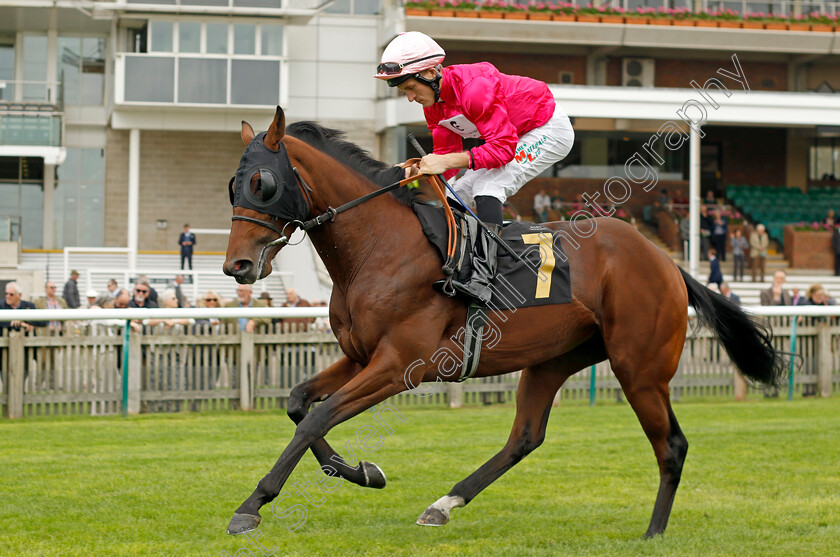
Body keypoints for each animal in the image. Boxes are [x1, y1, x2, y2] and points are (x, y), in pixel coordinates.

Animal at [221, 106, 780, 536]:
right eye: (232, 186)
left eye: (262, 183)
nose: (237, 266)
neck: (381, 245)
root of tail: (665, 260)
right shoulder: (360, 356)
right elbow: (299, 405)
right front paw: (362, 470)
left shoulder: (400, 364)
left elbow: (320, 415)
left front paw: (252, 506)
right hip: (554, 360)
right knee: (525, 437)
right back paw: (443, 504)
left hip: (639, 368)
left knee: (672, 446)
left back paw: (653, 532)